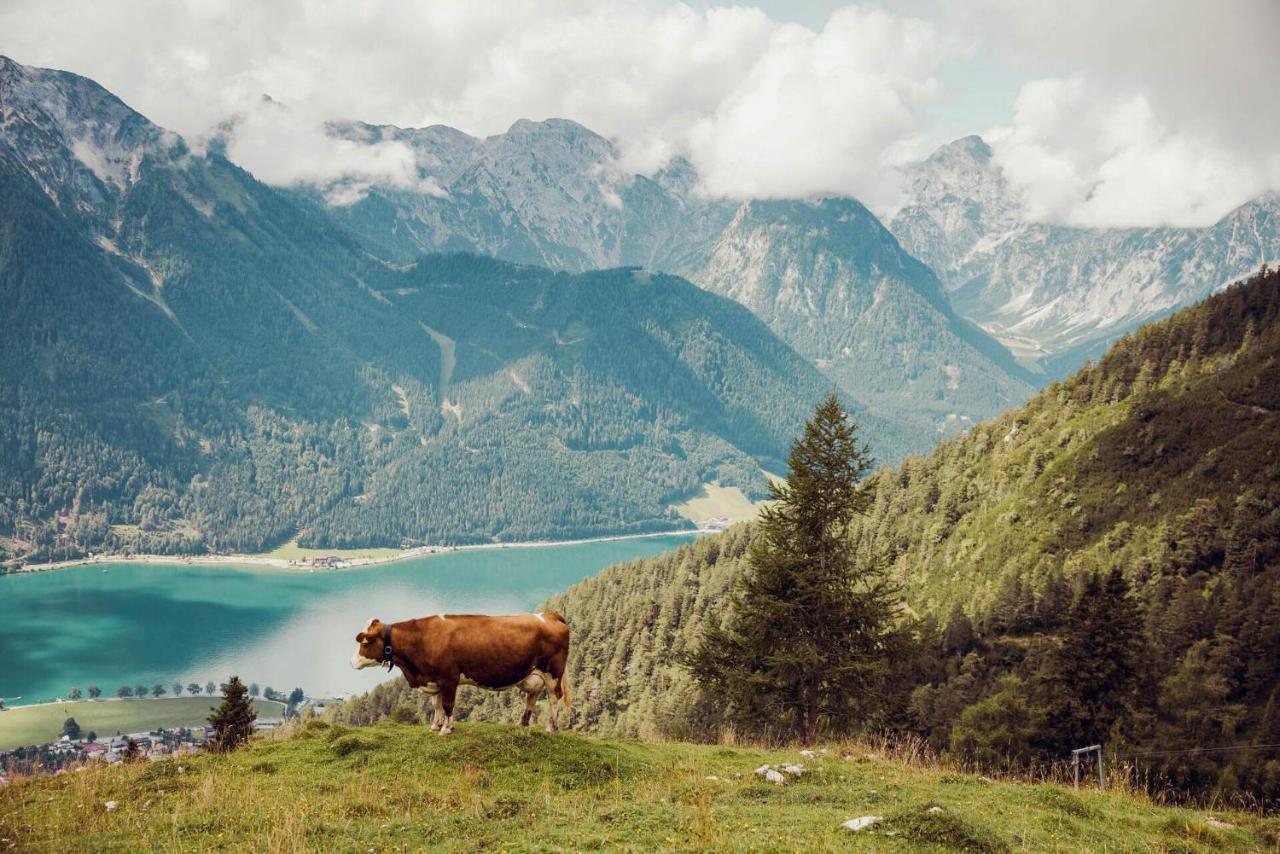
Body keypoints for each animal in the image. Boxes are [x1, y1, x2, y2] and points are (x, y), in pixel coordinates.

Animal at [350, 614, 570, 737]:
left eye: (365, 642)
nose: (351, 662)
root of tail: (549, 614)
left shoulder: (449, 678)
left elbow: (448, 704)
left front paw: (446, 729)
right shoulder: (434, 679)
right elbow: (436, 704)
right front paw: (435, 725)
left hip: (553, 672)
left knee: (554, 698)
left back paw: (552, 727)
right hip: (533, 675)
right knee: (532, 696)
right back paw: (523, 724)